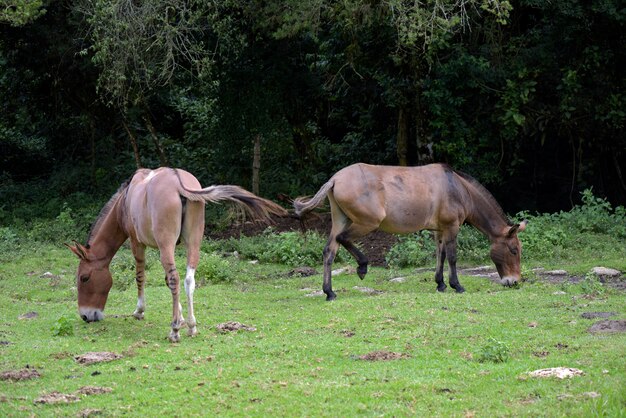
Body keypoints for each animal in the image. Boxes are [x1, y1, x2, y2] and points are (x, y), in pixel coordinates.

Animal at [66, 168, 286, 342]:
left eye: (84, 278)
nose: (86, 316)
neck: (124, 202)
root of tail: (179, 183)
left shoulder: (138, 244)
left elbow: (141, 276)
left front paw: (140, 311)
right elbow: (167, 281)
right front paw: (181, 317)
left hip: (167, 245)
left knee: (175, 279)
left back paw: (174, 331)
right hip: (193, 243)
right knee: (188, 280)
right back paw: (192, 326)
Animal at [294, 163, 528, 300]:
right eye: (514, 250)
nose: (514, 282)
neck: (458, 188)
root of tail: (335, 179)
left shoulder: (439, 230)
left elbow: (441, 255)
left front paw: (440, 284)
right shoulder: (452, 227)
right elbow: (452, 257)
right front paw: (456, 285)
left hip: (341, 220)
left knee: (329, 252)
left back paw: (329, 292)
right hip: (366, 223)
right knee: (343, 240)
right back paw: (362, 267)